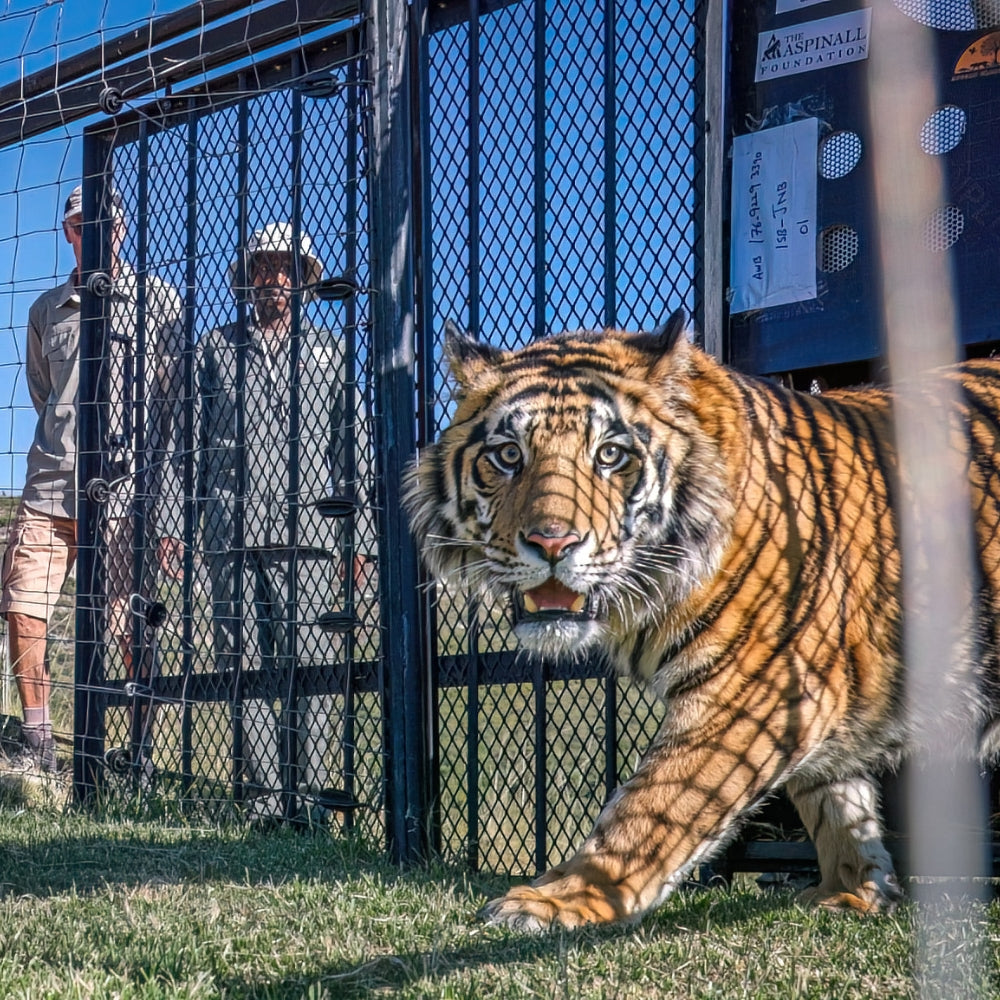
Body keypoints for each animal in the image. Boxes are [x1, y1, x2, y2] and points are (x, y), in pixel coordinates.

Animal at [403, 307, 1000, 933]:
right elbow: (835, 798)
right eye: (509, 455)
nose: (552, 542)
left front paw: (557, 899)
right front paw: (852, 892)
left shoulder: (754, 688)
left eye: (609, 455)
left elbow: (652, 807)